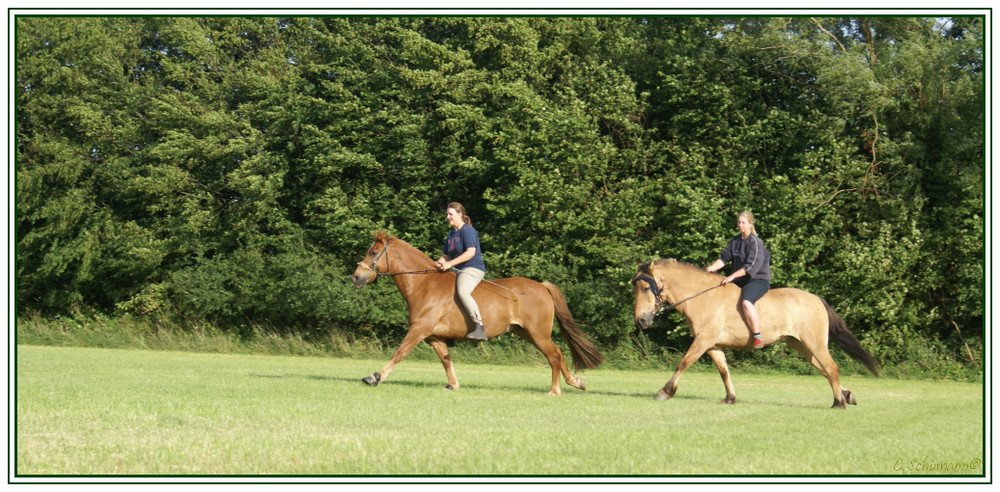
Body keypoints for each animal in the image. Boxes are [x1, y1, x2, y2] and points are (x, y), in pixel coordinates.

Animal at [352, 232, 600, 396]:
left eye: (373, 252)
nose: (355, 277)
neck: (424, 284)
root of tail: (541, 286)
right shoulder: (434, 336)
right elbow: (446, 360)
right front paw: (452, 385)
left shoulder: (419, 329)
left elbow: (400, 353)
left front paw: (374, 377)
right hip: (526, 333)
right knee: (558, 352)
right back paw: (576, 382)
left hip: (538, 333)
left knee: (554, 355)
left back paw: (555, 390)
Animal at [628, 258, 880, 408]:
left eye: (645, 288)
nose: (641, 321)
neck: (703, 297)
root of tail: (816, 299)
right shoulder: (713, 345)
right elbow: (724, 371)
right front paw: (730, 398)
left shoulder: (703, 341)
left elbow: (683, 363)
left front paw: (665, 391)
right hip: (801, 345)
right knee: (824, 369)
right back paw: (846, 395)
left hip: (814, 343)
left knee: (831, 367)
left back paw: (838, 402)